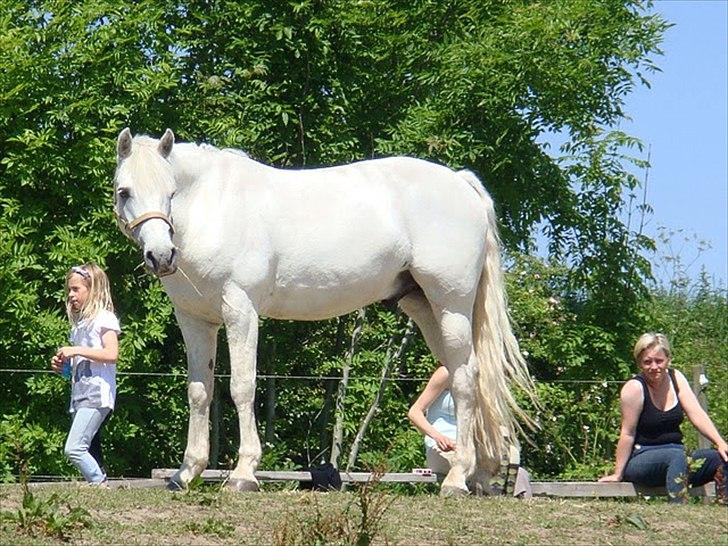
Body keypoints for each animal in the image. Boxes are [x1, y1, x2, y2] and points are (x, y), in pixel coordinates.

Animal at [113, 128, 534, 495]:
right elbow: (199, 391)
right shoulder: (195, 320)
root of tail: (461, 183)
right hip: (426, 308)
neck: (210, 207)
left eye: (171, 192)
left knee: (464, 381)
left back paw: (457, 480)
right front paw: (186, 473)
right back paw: (474, 476)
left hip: (452, 307)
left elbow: (242, 386)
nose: (160, 256)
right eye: (124, 192)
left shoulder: (241, 310)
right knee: (468, 376)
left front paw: (243, 474)